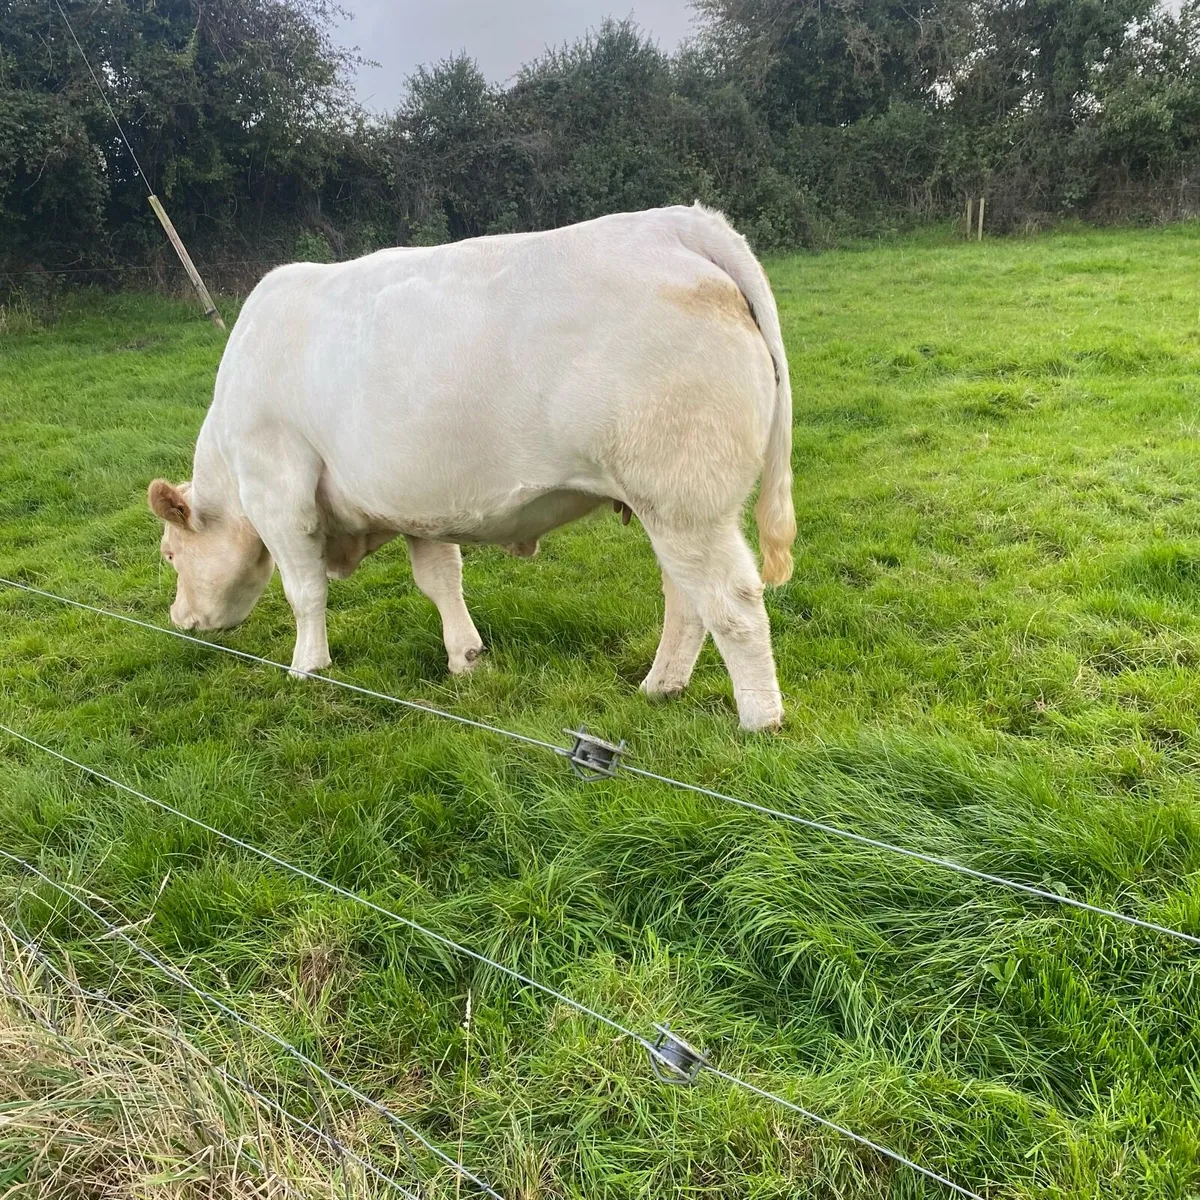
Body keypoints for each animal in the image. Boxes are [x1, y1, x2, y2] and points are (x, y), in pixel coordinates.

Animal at [148, 204, 796, 730]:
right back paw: (661, 686)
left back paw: (759, 721)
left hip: (684, 494)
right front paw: (466, 657)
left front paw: (308, 668)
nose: (179, 618)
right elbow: (440, 579)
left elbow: (303, 591)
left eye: (171, 554)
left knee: (732, 600)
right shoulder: (417, 504)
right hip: (667, 504)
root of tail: (680, 222)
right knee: (685, 597)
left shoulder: (279, 492)